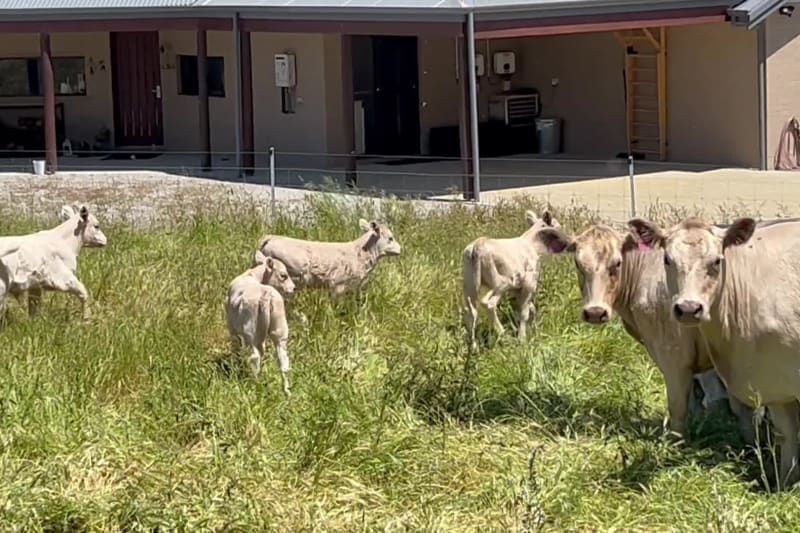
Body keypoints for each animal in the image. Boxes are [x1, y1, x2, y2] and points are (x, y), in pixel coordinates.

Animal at [225, 256, 296, 397]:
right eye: (283, 275)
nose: (293, 288)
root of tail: (266, 294)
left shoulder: (232, 328)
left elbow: (235, 348)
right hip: (279, 330)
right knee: (282, 359)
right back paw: (286, 391)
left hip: (250, 332)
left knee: (254, 356)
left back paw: (255, 385)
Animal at [462, 210, 561, 348]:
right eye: (557, 225)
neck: (533, 246)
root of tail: (478, 244)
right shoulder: (529, 283)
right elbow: (524, 312)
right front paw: (522, 338)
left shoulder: (517, 288)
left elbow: (531, 308)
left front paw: (534, 328)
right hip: (502, 282)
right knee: (488, 303)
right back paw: (503, 335)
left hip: (469, 283)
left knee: (470, 311)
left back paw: (474, 345)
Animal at [532, 222, 756, 443]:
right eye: (578, 264)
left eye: (617, 263)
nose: (595, 312)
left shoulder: (674, 355)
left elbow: (680, 406)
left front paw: (675, 444)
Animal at [628, 215, 800, 489]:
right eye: (667, 259)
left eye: (717, 261)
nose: (688, 308)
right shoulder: (774, 385)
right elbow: (788, 437)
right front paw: (784, 484)